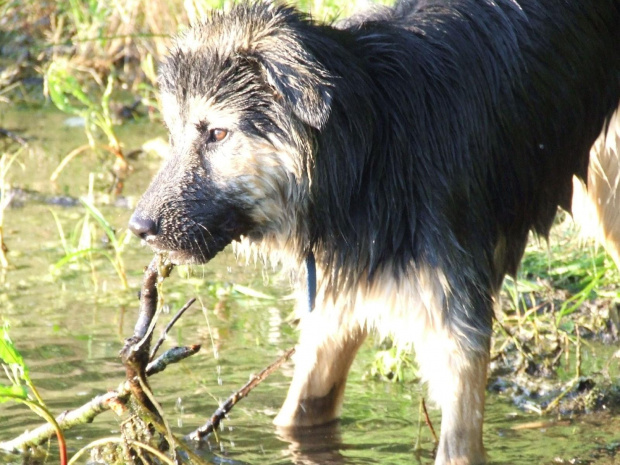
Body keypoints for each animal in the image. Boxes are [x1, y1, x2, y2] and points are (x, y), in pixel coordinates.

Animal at [130, 1, 620, 462]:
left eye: (216, 133)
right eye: (173, 134)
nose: (138, 228)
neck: (370, 154)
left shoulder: (458, 335)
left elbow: (458, 445)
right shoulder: (333, 312)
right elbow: (297, 414)